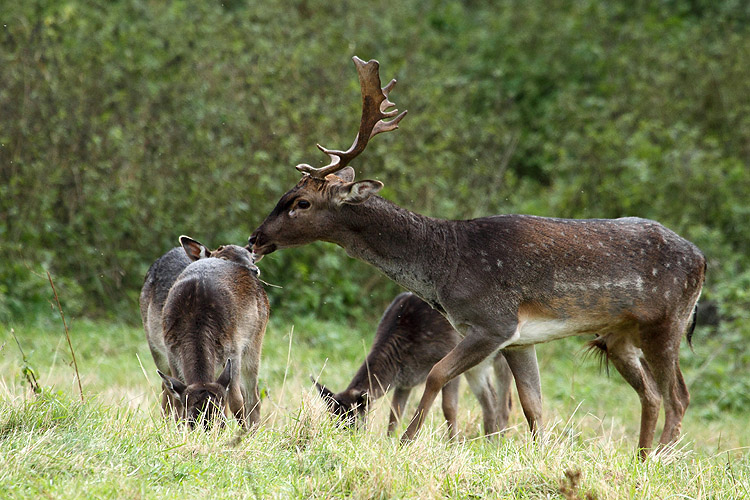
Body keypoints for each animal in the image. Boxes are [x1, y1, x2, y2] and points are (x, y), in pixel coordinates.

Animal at [140, 236, 268, 428]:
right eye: (192, 420)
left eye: (252, 259)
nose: (254, 270)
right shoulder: (171, 351)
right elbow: (177, 399)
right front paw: (178, 429)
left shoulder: (233, 350)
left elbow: (236, 401)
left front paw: (243, 431)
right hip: (154, 346)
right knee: (165, 389)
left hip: (255, 341)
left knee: (252, 395)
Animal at [312, 292, 516, 440]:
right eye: (332, 418)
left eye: (351, 421)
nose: (340, 440)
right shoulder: (405, 381)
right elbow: (395, 413)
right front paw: (389, 442)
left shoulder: (449, 352)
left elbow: (449, 408)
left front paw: (453, 445)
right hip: (477, 368)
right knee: (490, 399)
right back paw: (489, 441)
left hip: (500, 356)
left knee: (505, 402)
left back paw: (498, 441)